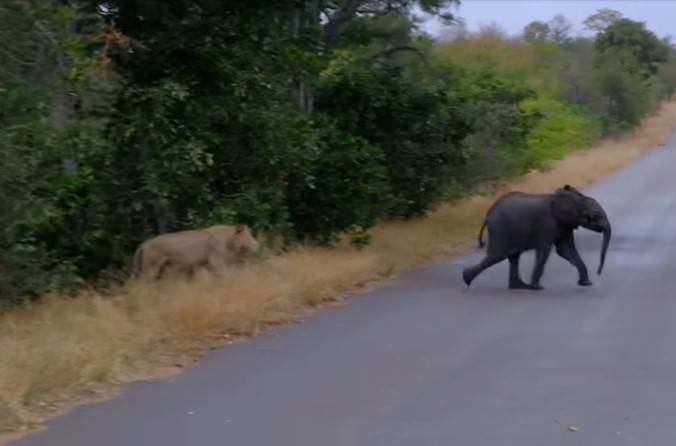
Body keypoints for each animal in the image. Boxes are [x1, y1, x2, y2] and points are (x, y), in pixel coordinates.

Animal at [462, 185, 612, 290]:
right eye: (595, 216)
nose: (598, 273)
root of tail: (487, 216)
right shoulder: (547, 223)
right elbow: (545, 251)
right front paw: (538, 288)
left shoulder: (563, 225)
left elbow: (565, 250)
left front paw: (586, 283)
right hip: (500, 230)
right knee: (497, 256)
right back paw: (466, 279)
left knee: (513, 257)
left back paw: (519, 286)